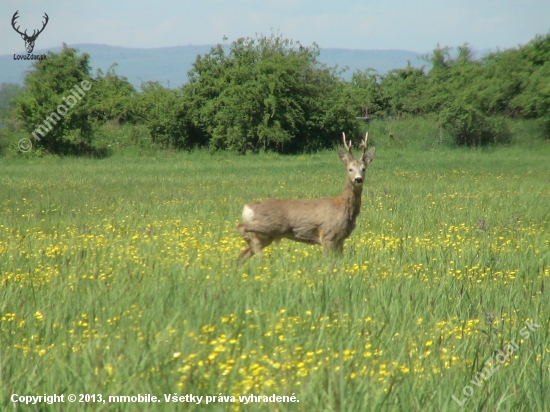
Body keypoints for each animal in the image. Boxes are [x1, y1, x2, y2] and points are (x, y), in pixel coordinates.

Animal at [237, 132, 376, 264]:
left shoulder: (340, 238)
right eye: (350, 169)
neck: (344, 207)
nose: (358, 179)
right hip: (271, 225)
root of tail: (247, 208)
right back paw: (258, 253)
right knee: (241, 227)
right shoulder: (327, 234)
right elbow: (327, 260)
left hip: (266, 236)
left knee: (241, 255)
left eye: (364, 169)